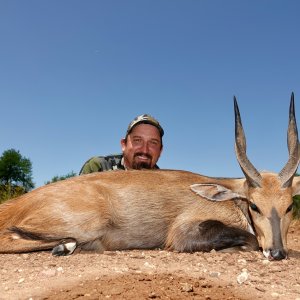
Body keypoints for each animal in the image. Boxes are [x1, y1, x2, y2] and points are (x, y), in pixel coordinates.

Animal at [0, 95, 300, 258]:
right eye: (254, 205)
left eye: (289, 207)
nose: (277, 253)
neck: (231, 195)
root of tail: (16, 205)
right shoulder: (183, 233)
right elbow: (249, 240)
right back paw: (66, 246)